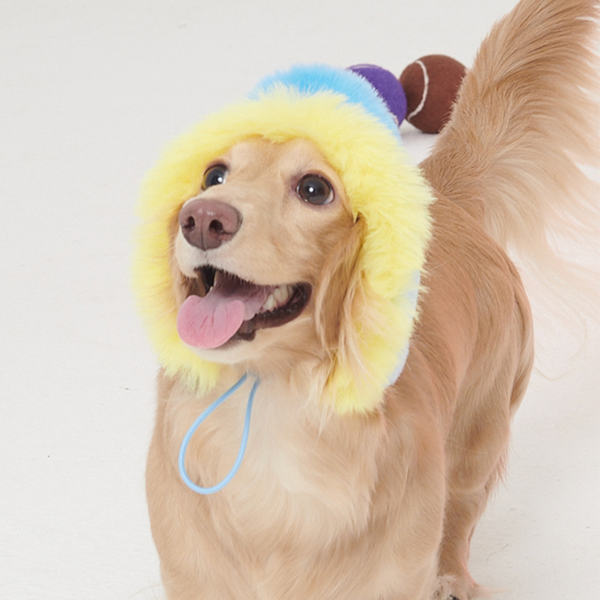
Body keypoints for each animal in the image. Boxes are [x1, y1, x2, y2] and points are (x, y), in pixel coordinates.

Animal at [134, 2, 600, 596]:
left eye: (315, 189)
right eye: (213, 175)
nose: (202, 219)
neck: (274, 402)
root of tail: (439, 196)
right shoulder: (192, 574)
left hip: (479, 434)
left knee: (460, 514)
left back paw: (452, 576)